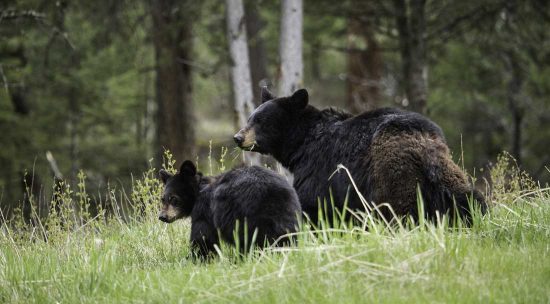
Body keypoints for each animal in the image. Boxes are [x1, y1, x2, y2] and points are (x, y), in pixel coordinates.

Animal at [158, 162, 302, 258]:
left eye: (174, 199)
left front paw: (196, 258)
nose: (162, 216)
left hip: (242, 215)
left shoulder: (204, 209)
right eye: (163, 199)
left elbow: (203, 237)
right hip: (289, 212)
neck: (199, 190)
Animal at [235, 88, 490, 226]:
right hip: (447, 174)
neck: (301, 143)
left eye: (261, 121)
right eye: (250, 117)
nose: (238, 137)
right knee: (468, 199)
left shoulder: (319, 169)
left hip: (393, 176)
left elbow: (312, 204)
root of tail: (424, 145)